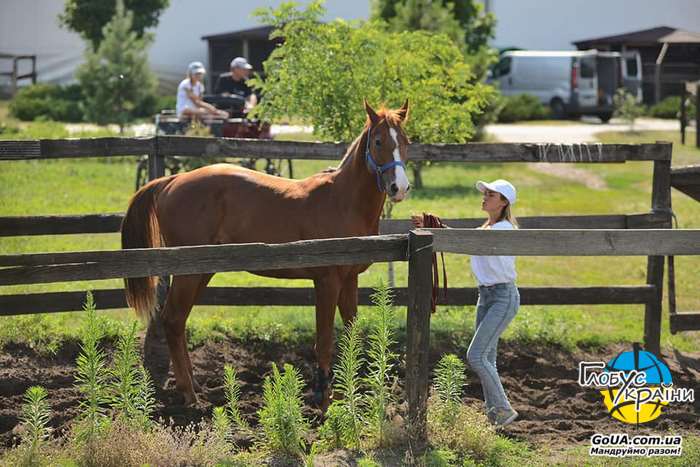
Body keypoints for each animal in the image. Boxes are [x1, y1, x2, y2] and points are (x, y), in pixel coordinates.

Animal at [121, 99, 410, 410]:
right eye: (378, 141)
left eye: (406, 141)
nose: (400, 188)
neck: (342, 200)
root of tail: (172, 180)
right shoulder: (327, 281)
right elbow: (324, 340)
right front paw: (323, 400)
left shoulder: (349, 280)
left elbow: (351, 335)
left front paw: (346, 398)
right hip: (189, 274)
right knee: (173, 319)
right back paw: (189, 395)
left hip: (201, 272)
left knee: (179, 321)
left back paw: (195, 386)